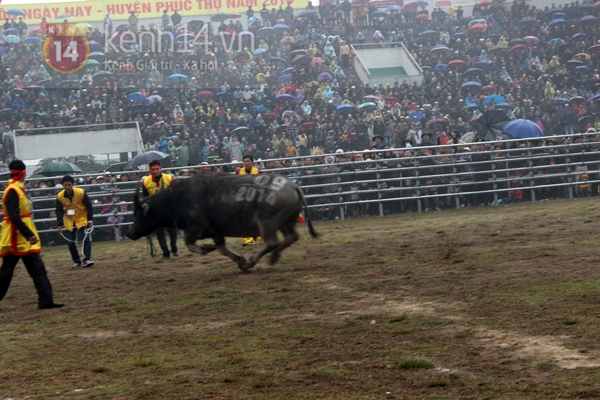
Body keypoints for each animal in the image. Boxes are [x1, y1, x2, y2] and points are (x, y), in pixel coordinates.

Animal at [127, 173, 318, 270]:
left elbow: (190, 244)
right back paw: (272, 256)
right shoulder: (215, 232)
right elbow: (222, 249)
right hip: (287, 221)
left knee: (272, 241)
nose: (130, 233)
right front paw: (239, 260)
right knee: (291, 237)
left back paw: (254, 260)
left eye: (137, 214)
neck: (176, 198)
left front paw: (207, 248)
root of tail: (293, 186)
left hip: (267, 223)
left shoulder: (196, 227)